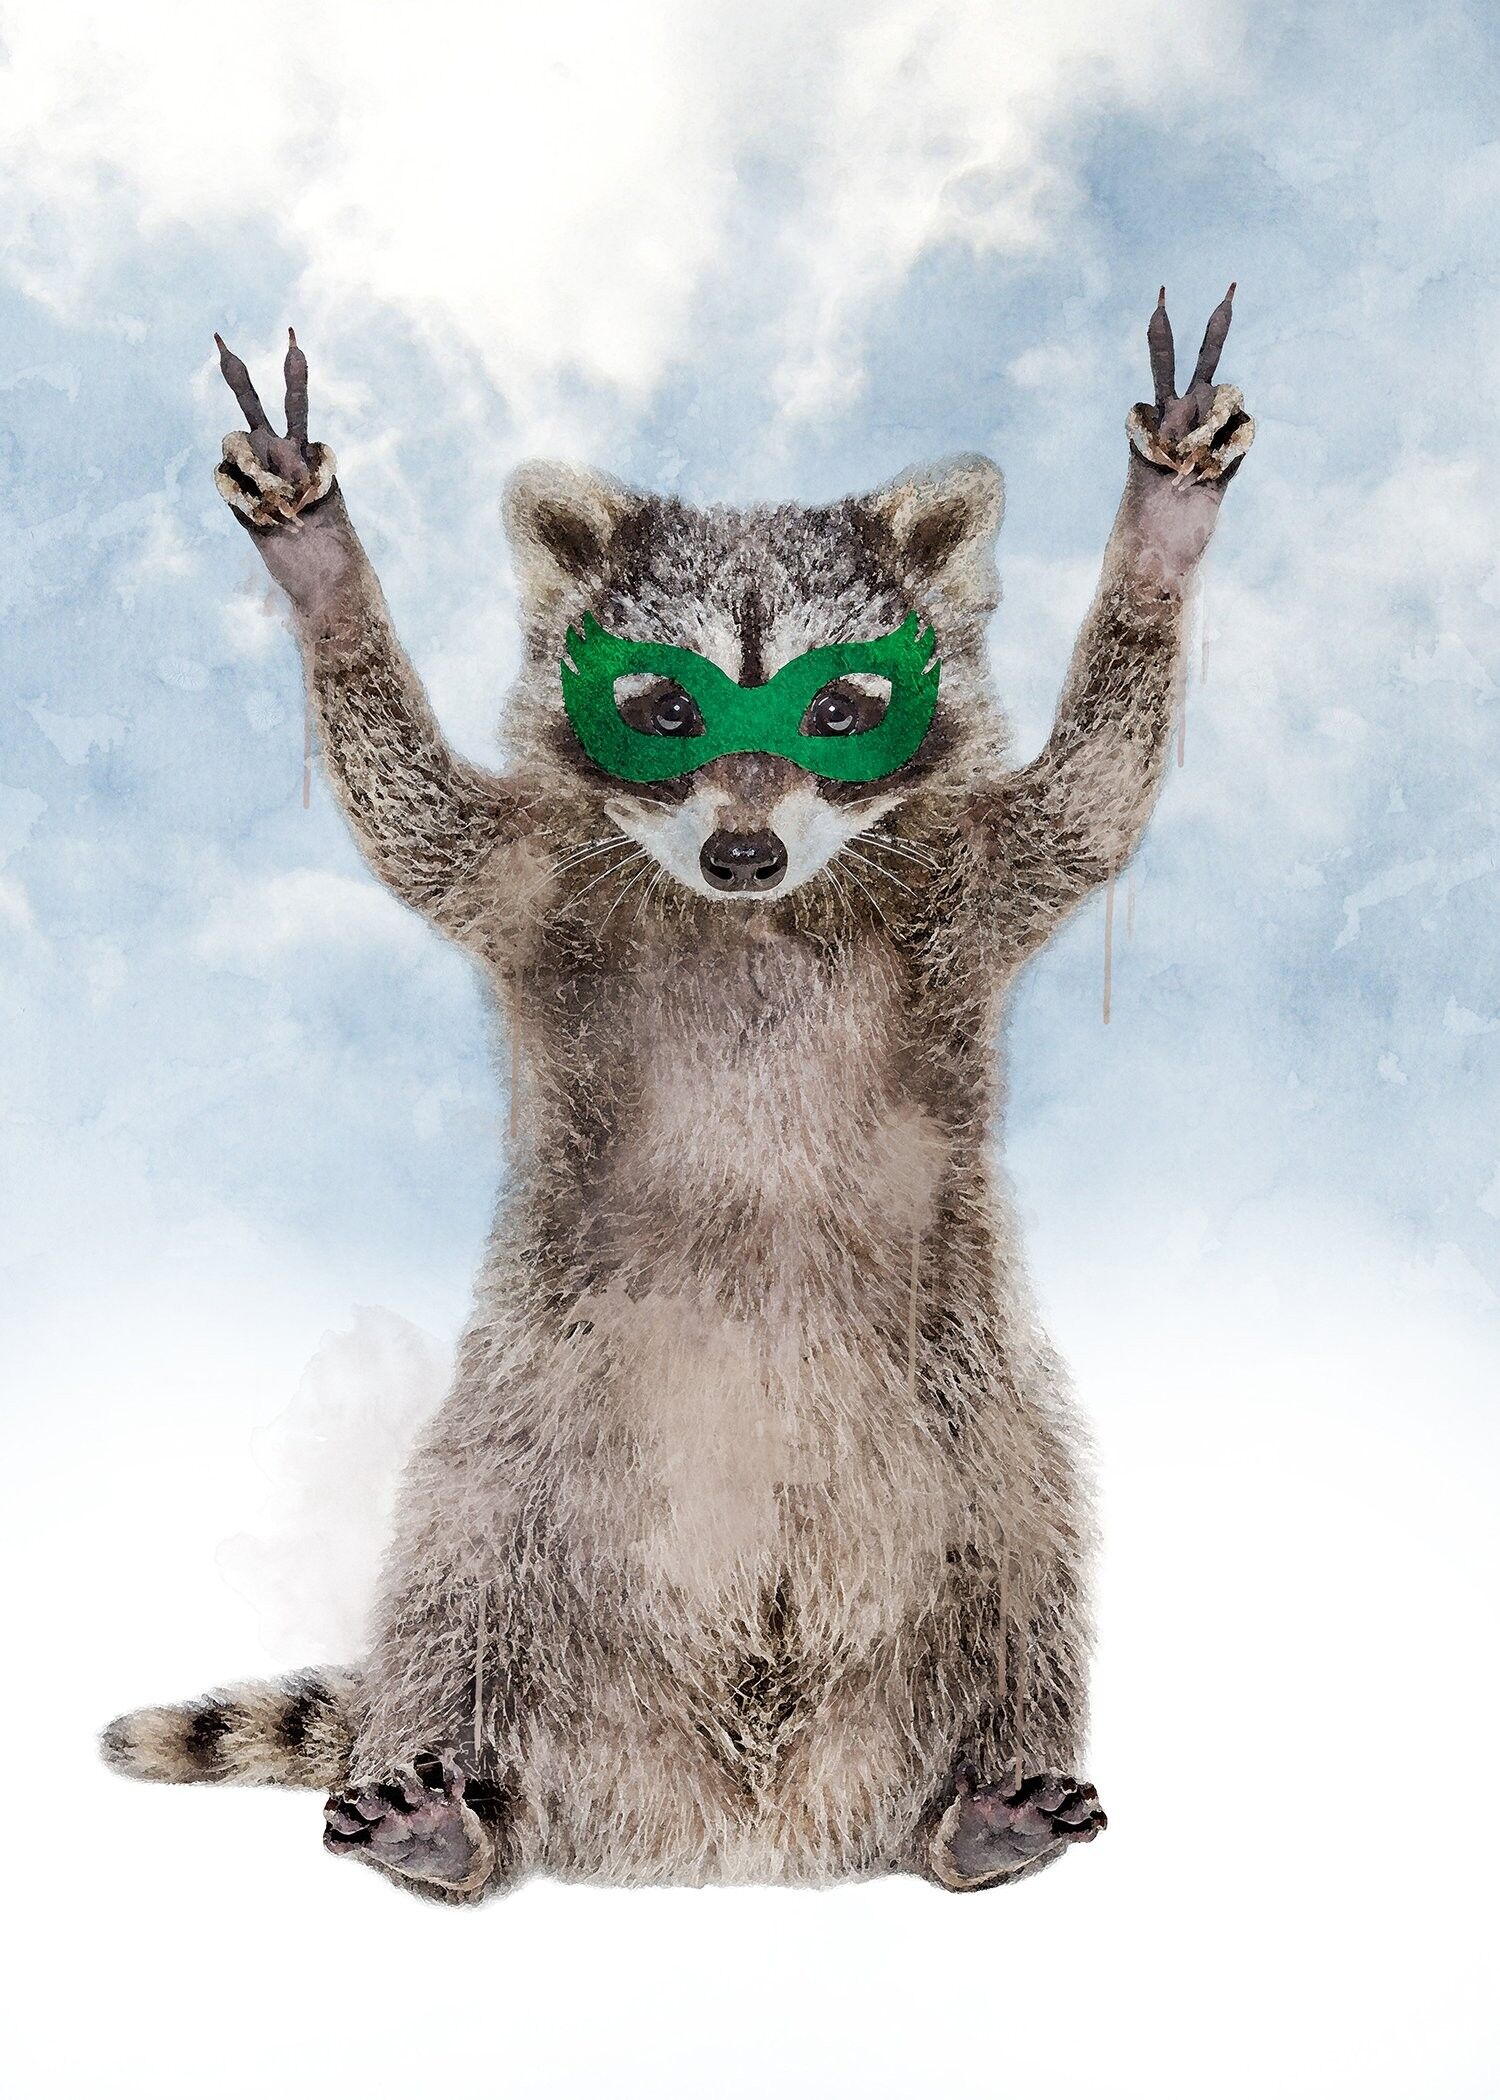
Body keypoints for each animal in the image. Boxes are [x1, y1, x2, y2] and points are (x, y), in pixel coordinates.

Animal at [102, 294, 1253, 1901]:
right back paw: (455, 1818)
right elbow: (411, 818)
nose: (743, 853)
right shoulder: (529, 886)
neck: (753, 918)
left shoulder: (975, 885)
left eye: (840, 706)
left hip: (978, 1422)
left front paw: (1160, 536)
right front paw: (322, 569)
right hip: (519, 1449)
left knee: (1025, 1561)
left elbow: (1093, 794)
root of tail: (737, 1823)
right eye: (661, 706)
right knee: (451, 1577)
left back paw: (981, 1806)